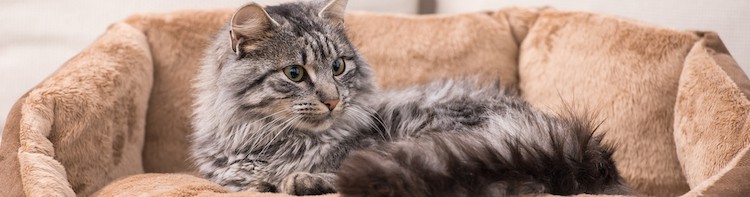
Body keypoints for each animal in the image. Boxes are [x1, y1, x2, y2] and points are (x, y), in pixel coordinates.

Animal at [191, 0, 632, 195]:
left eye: (338, 66)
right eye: (295, 74)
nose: (333, 101)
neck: (265, 139)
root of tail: (582, 149)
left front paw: (295, 178)